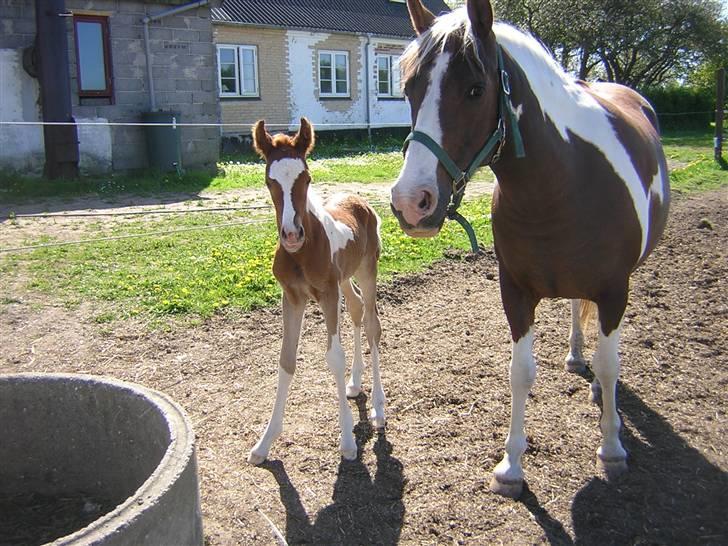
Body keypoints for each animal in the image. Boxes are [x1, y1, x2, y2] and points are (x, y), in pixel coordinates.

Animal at [247, 119, 384, 464]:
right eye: (269, 180)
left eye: (306, 177)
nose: (291, 235)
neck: (301, 253)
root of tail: (360, 201)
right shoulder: (292, 297)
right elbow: (286, 359)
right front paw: (264, 443)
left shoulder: (327, 294)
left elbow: (334, 356)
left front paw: (347, 441)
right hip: (345, 279)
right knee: (357, 309)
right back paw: (355, 383)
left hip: (367, 270)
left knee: (373, 325)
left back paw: (379, 408)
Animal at [390, 0, 668, 498]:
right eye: (409, 89)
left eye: (475, 90)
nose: (410, 203)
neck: (564, 183)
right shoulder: (516, 293)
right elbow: (521, 372)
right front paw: (511, 466)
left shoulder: (615, 291)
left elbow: (611, 364)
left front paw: (612, 447)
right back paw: (576, 357)